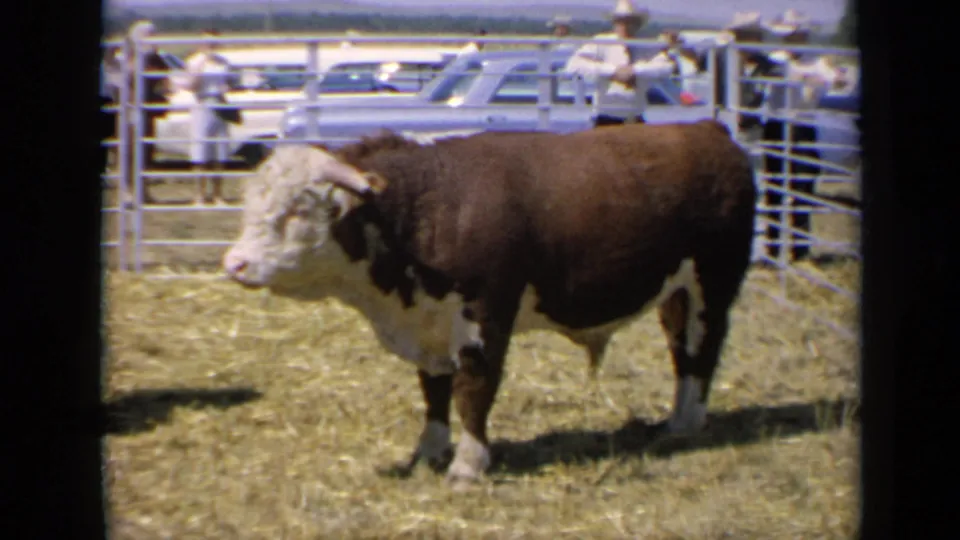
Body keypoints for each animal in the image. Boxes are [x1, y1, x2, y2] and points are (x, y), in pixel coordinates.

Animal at [222, 120, 758, 489]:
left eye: (299, 209)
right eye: (251, 202)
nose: (235, 264)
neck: (427, 211)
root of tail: (708, 130)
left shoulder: (485, 318)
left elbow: (473, 393)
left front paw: (469, 464)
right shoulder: (431, 325)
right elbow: (435, 392)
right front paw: (429, 452)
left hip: (715, 282)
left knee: (704, 351)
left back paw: (687, 425)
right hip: (677, 293)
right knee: (682, 352)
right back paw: (675, 421)